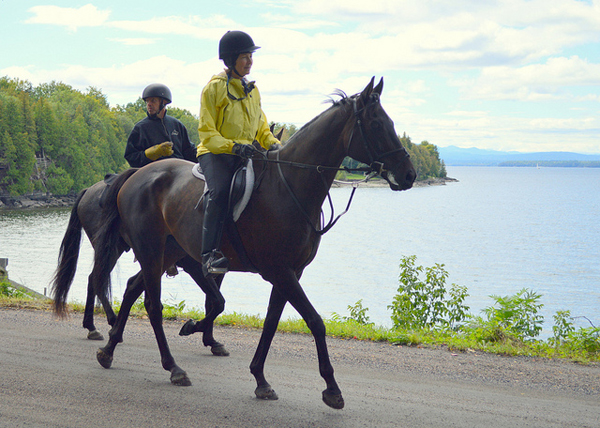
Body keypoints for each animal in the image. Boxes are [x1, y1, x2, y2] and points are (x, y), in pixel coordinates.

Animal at [50, 174, 229, 354]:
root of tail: (88, 191)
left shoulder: (215, 271)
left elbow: (212, 302)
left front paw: (211, 340)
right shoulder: (193, 267)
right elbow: (217, 301)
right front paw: (195, 329)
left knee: (94, 280)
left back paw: (93, 326)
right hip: (112, 249)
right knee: (96, 279)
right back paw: (107, 323)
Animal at [92, 78, 418, 410]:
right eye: (377, 124)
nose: (409, 174)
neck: (288, 185)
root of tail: (137, 174)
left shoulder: (289, 273)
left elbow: (270, 323)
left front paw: (260, 378)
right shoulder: (279, 271)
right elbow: (314, 321)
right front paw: (331, 388)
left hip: (166, 252)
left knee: (134, 288)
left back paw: (109, 349)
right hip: (152, 250)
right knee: (152, 305)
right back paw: (172, 367)